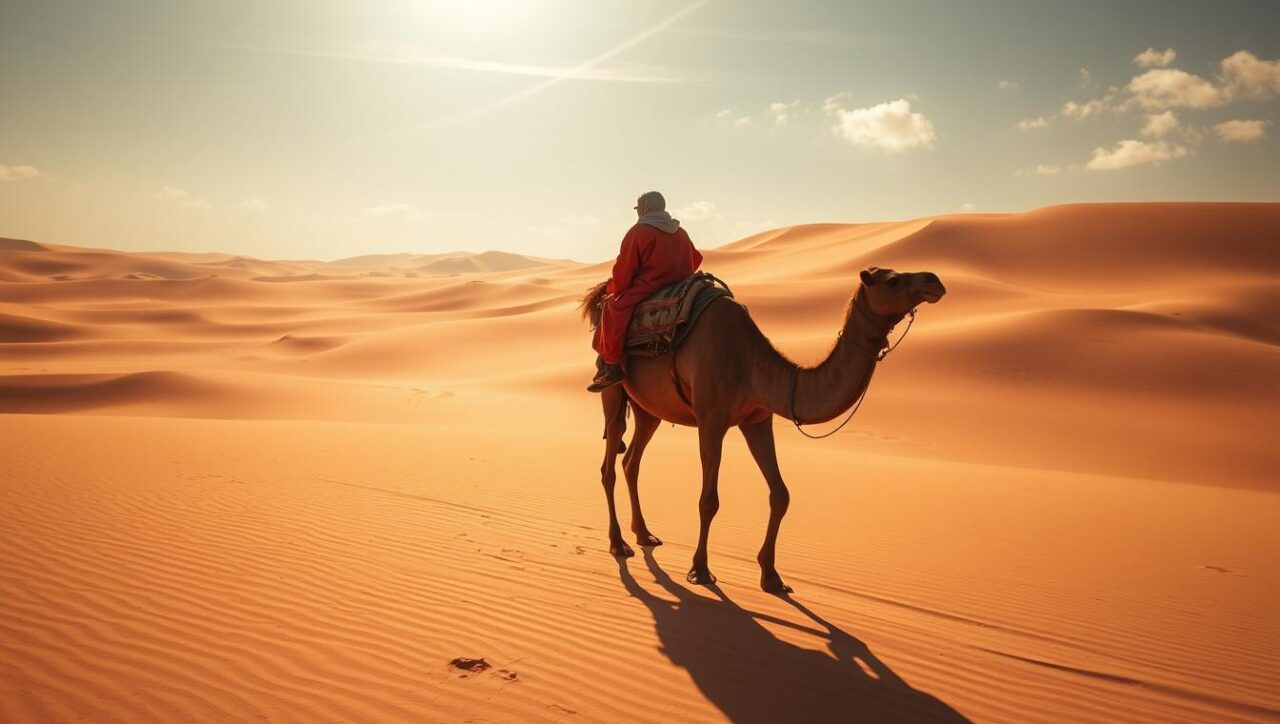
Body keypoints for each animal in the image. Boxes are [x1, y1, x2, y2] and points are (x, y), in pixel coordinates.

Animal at [582, 266, 946, 593]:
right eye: (893, 280)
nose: (934, 280)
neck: (750, 362)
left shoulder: (758, 419)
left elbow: (781, 494)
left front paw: (771, 577)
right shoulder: (711, 418)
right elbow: (709, 500)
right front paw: (701, 570)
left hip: (648, 409)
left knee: (631, 461)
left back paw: (644, 533)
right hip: (613, 390)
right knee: (608, 463)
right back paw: (619, 543)